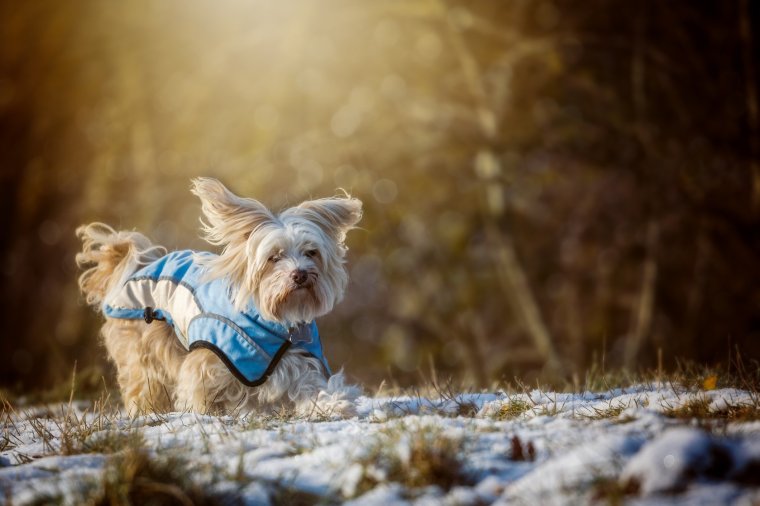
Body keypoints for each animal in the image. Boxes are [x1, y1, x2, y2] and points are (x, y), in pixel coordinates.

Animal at [77, 178, 362, 416]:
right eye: (274, 257)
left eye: (311, 252)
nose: (300, 274)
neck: (276, 321)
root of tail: (136, 266)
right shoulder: (209, 358)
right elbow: (202, 386)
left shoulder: (298, 358)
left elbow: (310, 386)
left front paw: (333, 404)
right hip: (144, 350)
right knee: (144, 383)